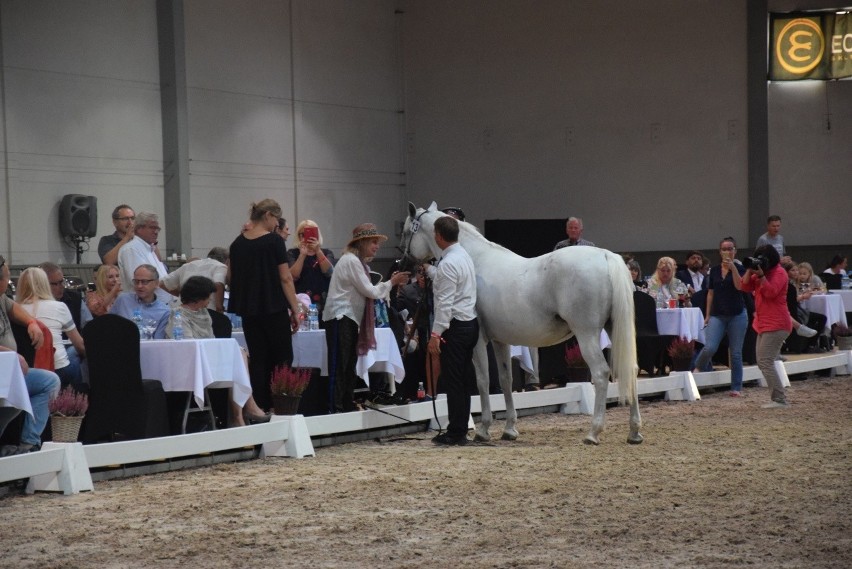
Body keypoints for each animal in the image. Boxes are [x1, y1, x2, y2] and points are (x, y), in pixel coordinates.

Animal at [400, 202, 640, 446]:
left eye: (407, 231)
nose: (403, 264)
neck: (473, 259)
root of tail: (605, 256)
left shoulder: (478, 340)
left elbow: (483, 381)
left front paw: (483, 430)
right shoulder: (500, 341)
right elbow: (506, 380)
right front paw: (509, 429)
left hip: (586, 334)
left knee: (600, 373)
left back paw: (593, 433)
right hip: (615, 330)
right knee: (631, 370)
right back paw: (634, 432)